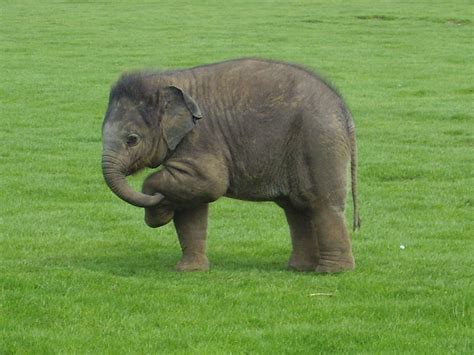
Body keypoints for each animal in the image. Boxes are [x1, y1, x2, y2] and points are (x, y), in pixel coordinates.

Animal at [101, 59, 360, 276]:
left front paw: (160, 208)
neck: (167, 80)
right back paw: (300, 268)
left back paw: (331, 272)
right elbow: (192, 205)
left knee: (322, 204)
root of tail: (344, 110)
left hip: (318, 143)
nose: (160, 205)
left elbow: (211, 183)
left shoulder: (201, 138)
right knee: (296, 209)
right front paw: (189, 270)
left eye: (132, 139)